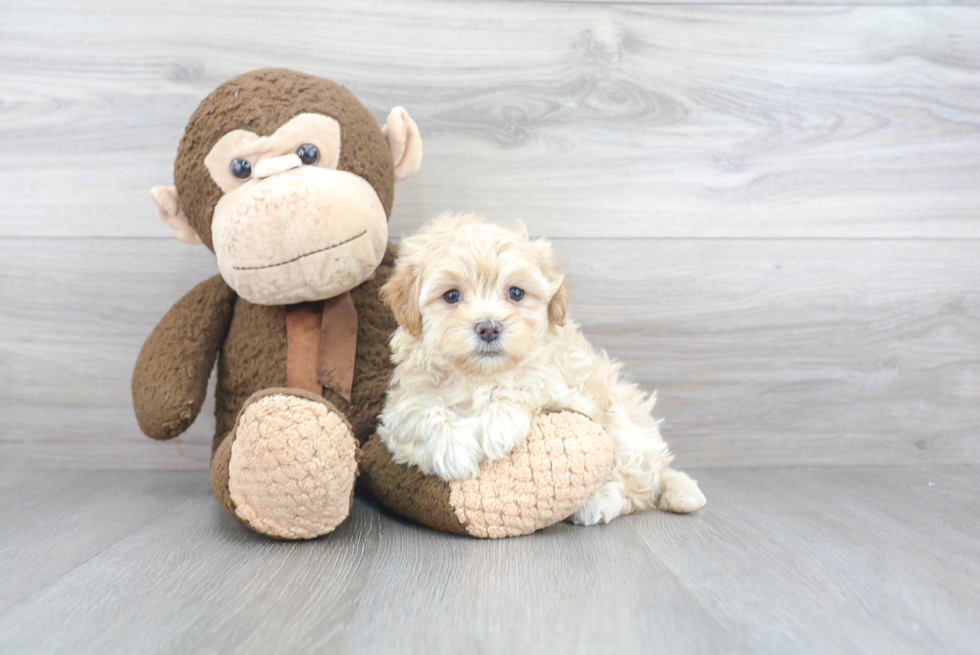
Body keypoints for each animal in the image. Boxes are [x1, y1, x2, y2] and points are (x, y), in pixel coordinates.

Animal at [376, 213, 704, 524]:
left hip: (624, 423)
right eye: (452, 295)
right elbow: (421, 412)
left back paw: (600, 501)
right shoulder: (398, 409)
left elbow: (526, 385)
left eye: (516, 293)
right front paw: (454, 451)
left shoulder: (569, 391)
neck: (480, 376)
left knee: (636, 486)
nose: (489, 328)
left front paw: (498, 426)